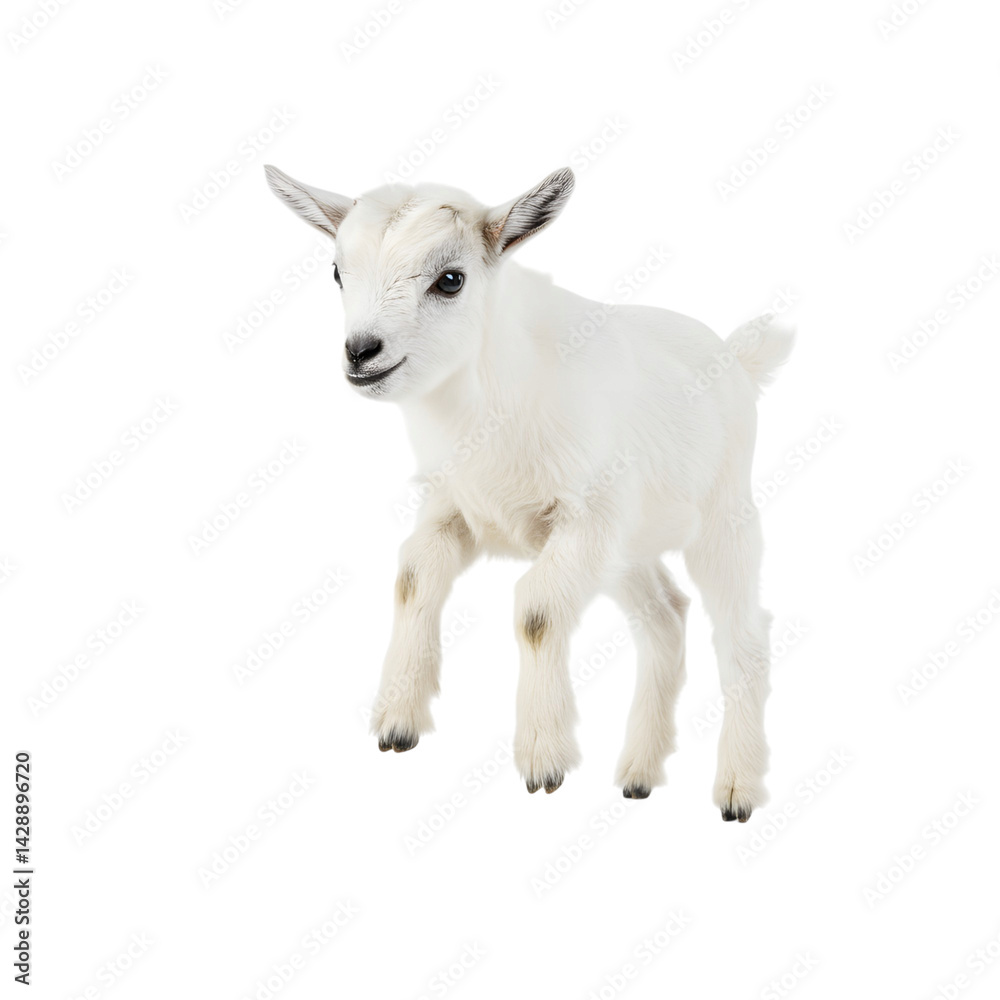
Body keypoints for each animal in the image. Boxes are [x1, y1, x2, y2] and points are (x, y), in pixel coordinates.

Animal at [265, 164, 793, 821]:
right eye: (338, 271)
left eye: (450, 279)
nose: (361, 352)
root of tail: (737, 358)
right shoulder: (455, 507)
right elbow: (414, 574)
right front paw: (397, 718)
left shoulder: (587, 517)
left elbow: (537, 612)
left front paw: (544, 757)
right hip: (629, 551)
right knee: (666, 617)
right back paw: (639, 774)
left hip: (724, 518)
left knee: (743, 638)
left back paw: (737, 789)